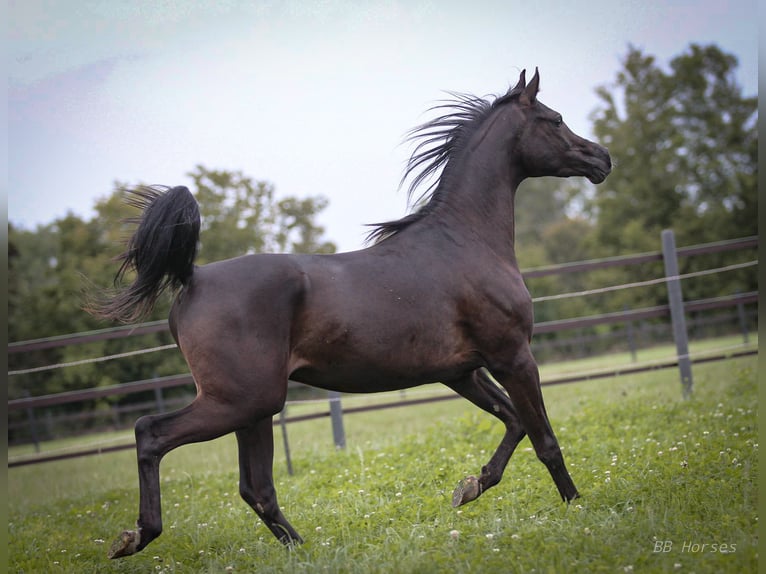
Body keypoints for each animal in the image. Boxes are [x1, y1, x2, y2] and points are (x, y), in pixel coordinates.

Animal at [94, 67, 612, 560]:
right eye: (555, 120)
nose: (602, 158)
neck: (465, 240)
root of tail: (193, 277)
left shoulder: (462, 372)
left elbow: (514, 422)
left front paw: (470, 487)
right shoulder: (513, 356)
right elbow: (545, 439)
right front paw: (577, 507)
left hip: (254, 409)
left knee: (256, 487)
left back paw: (302, 550)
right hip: (240, 401)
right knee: (151, 433)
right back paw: (135, 537)